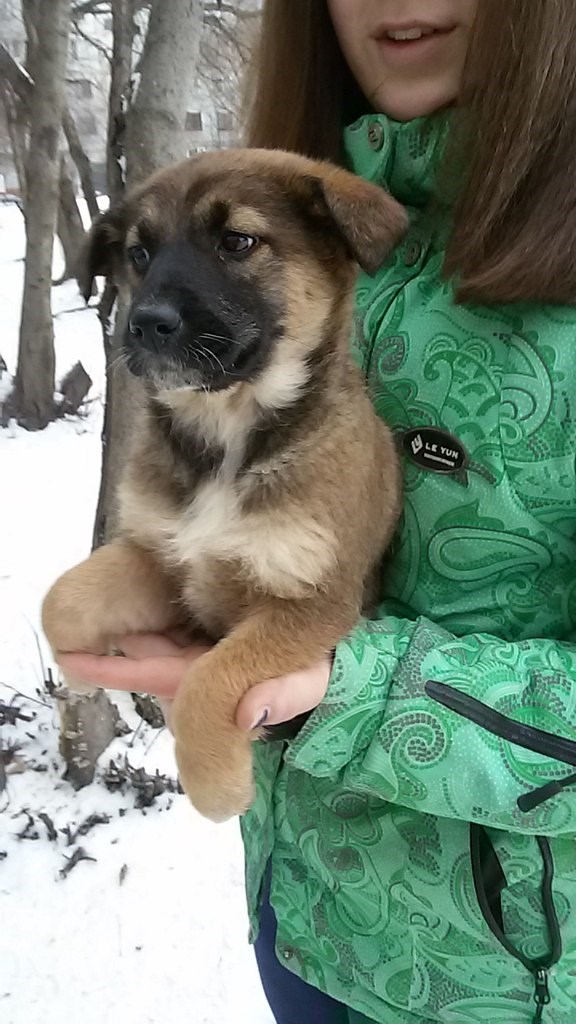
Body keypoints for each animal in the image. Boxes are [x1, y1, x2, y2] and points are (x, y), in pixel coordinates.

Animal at [42, 148, 406, 822]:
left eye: (238, 241)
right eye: (139, 254)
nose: (144, 323)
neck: (228, 439)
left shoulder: (310, 602)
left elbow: (212, 675)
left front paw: (216, 785)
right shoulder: (162, 556)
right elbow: (63, 598)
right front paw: (76, 675)